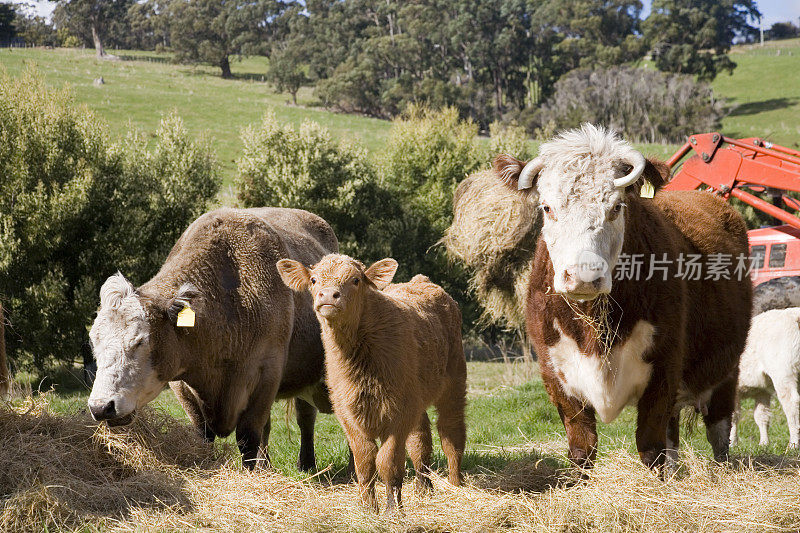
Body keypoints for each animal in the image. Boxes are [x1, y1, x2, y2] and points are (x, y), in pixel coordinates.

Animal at [87, 208, 338, 470]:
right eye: (93, 343)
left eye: (139, 341)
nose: (101, 407)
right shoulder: (182, 386)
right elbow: (203, 436)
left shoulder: (266, 375)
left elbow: (248, 438)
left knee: (305, 417)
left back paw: (307, 464)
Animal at [276, 254, 468, 512]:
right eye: (314, 280)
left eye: (356, 280)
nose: (328, 295)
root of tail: (421, 281)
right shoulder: (347, 412)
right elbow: (364, 460)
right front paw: (368, 507)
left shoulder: (398, 414)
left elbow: (387, 461)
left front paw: (393, 509)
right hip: (416, 397)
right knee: (421, 441)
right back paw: (423, 489)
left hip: (454, 382)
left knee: (451, 432)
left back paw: (456, 485)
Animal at [490, 123, 752, 470]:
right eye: (547, 207)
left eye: (616, 207)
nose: (584, 275)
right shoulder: (556, 375)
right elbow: (582, 450)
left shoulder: (663, 371)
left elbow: (651, 449)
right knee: (674, 438)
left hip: (726, 371)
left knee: (719, 432)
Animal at [732, 306, 800, 446]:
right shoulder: (761, 390)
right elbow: (761, 416)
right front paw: (764, 444)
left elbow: (733, 415)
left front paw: (731, 443)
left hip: (783, 372)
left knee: (791, 403)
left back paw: (793, 444)